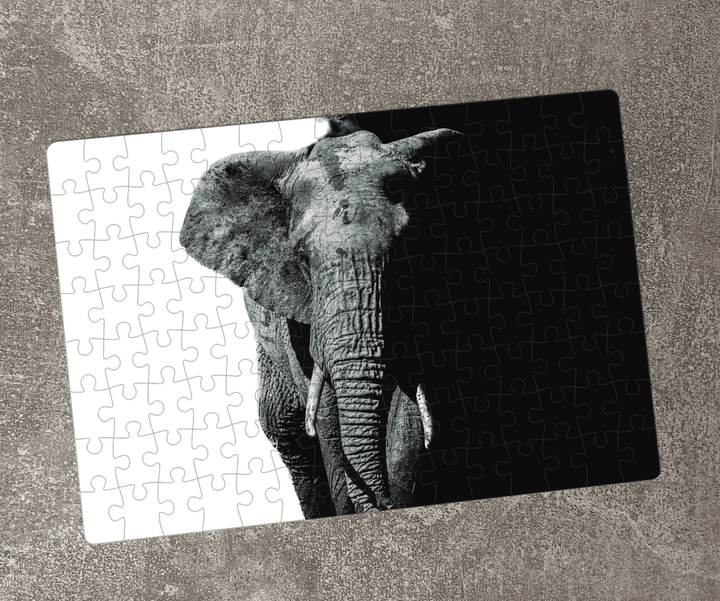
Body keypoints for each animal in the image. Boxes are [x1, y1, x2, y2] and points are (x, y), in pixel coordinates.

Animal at [179, 127, 465, 518]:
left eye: (407, 245)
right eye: (301, 256)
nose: (381, 504)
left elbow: (409, 418)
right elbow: (328, 419)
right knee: (288, 433)